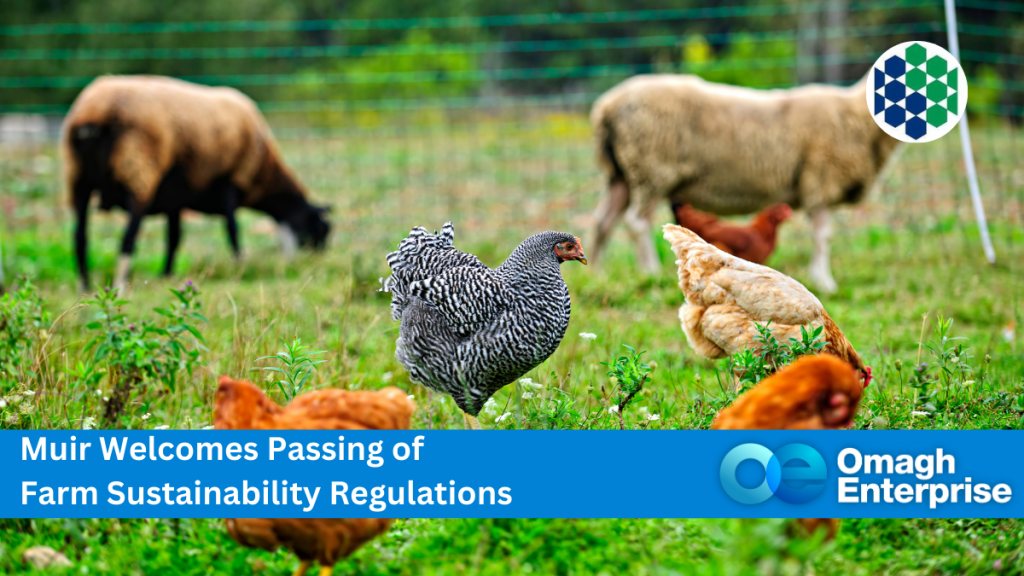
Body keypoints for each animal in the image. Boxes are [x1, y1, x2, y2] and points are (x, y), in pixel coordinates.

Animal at [62, 75, 327, 291]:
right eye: (320, 229)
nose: (317, 259)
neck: (262, 172)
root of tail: (94, 113)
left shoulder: (174, 199)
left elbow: (174, 238)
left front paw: (166, 275)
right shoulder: (230, 182)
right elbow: (232, 229)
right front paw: (240, 264)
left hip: (78, 178)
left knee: (79, 238)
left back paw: (85, 287)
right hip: (138, 172)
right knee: (127, 239)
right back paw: (119, 286)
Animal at [589, 72, 901, 293]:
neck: (858, 115)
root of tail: (606, 108)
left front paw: (821, 280)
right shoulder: (820, 180)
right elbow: (823, 237)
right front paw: (824, 282)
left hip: (622, 175)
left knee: (603, 222)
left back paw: (597, 272)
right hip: (651, 169)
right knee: (636, 223)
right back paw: (650, 272)